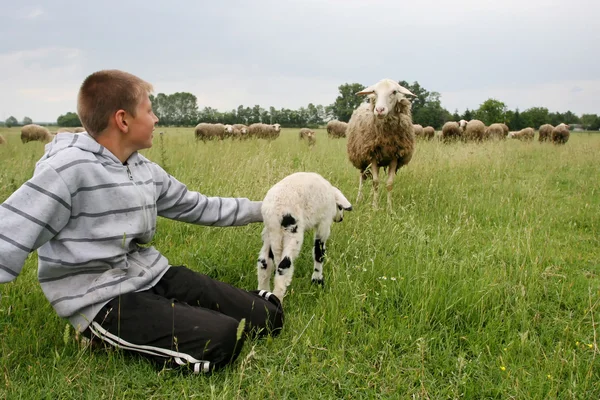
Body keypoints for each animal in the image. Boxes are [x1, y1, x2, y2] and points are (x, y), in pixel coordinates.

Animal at [256, 171, 352, 300]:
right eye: (340, 207)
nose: (340, 219)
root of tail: (274, 213)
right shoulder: (324, 223)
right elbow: (319, 252)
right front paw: (317, 280)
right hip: (292, 234)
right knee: (284, 266)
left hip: (270, 235)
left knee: (264, 263)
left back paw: (264, 292)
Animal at [344, 78, 414, 209]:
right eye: (374, 92)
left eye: (394, 92)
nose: (379, 110)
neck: (386, 137)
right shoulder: (372, 156)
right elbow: (376, 182)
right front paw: (375, 208)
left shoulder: (394, 157)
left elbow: (389, 183)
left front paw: (389, 208)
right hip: (362, 158)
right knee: (363, 177)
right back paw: (359, 199)